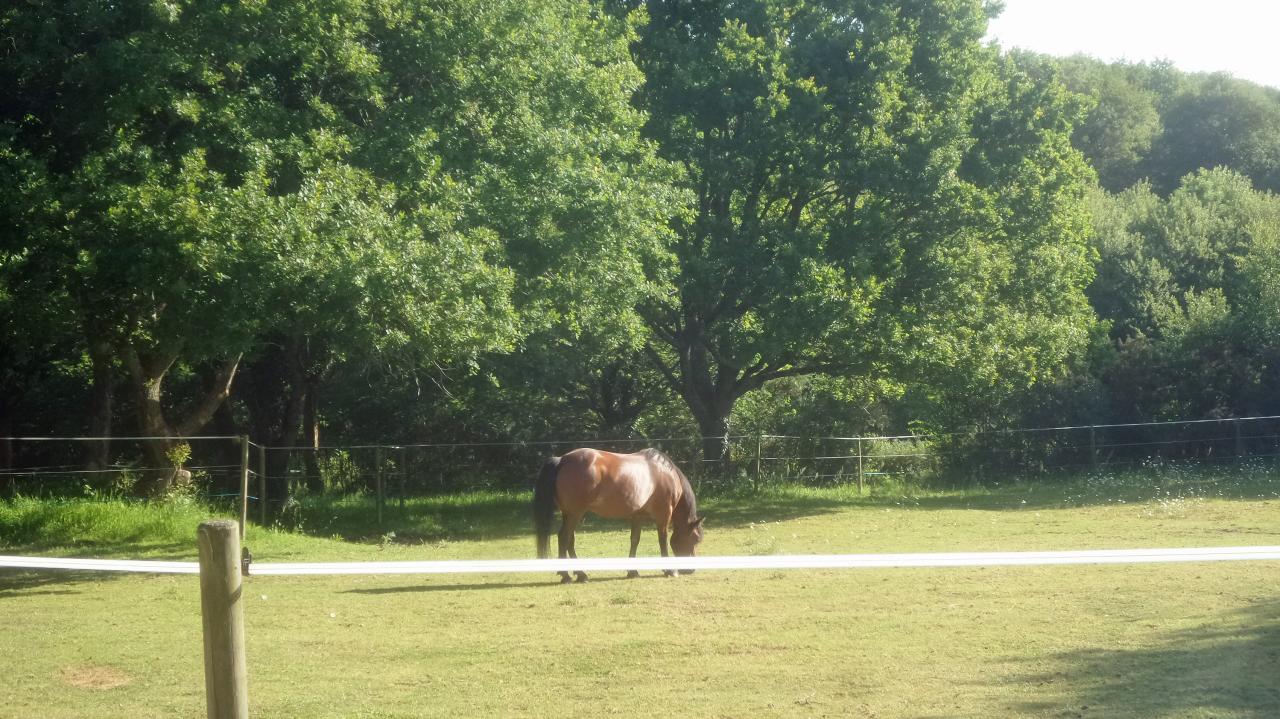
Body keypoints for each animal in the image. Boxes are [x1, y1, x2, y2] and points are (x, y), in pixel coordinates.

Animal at [535, 445, 706, 578]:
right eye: (696, 539)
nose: (690, 570)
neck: (666, 474)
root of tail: (562, 460)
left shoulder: (637, 515)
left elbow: (635, 540)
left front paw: (633, 571)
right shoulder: (663, 516)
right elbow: (662, 540)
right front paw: (670, 570)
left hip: (569, 514)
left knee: (569, 539)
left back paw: (579, 574)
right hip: (575, 513)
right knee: (564, 537)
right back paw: (566, 575)